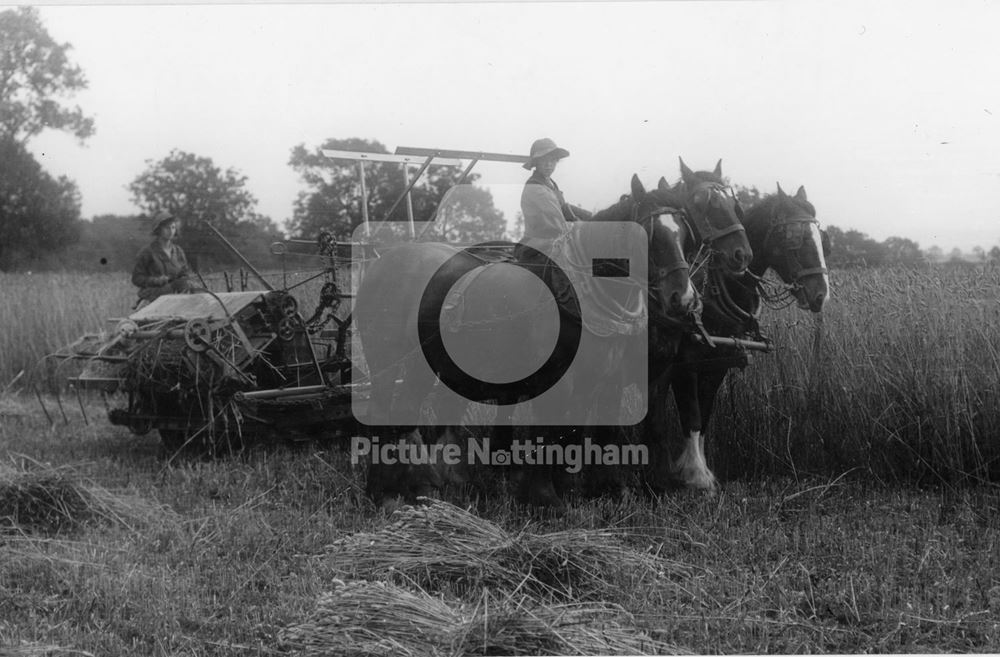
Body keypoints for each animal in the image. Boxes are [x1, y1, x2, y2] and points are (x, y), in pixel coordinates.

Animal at [644, 182, 832, 490]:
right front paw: (696, 475)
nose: (821, 295)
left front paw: (697, 469)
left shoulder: (717, 363)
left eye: (822, 239)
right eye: (795, 238)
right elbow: (691, 413)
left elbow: (704, 415)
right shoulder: (685, 363)